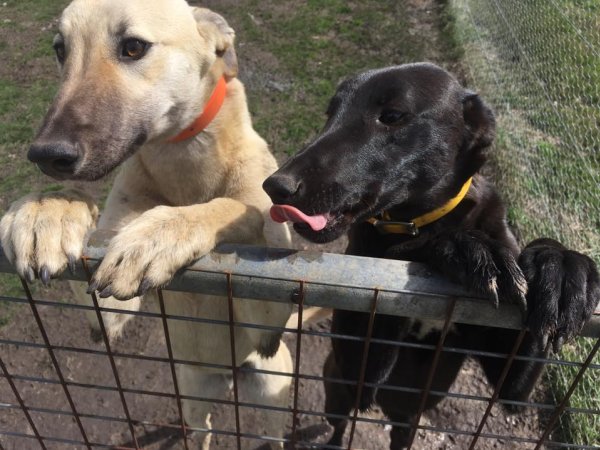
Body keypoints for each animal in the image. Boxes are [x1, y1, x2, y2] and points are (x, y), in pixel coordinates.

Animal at [0, 1, 296, 448]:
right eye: (60, 49)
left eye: (134, 47)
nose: (46, 155)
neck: (183, 158)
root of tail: (226, 376)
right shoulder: (105, 315)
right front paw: (47, 210)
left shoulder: (267, 315)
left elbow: (236, 209)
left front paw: (160, 234)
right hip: (192, 392)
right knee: (203, 428)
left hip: (270, 385)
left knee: (273, 434)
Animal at [264, 64, 600, 450]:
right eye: (330, 113)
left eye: (392, 116)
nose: (275, 186)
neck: (422, 221)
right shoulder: (357, 370)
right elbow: (411, 251)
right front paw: (465, 248)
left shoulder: (512, 385)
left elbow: (516, 380)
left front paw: (561, 268)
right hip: (337, 392)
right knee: (338, 424)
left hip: (407, 424)